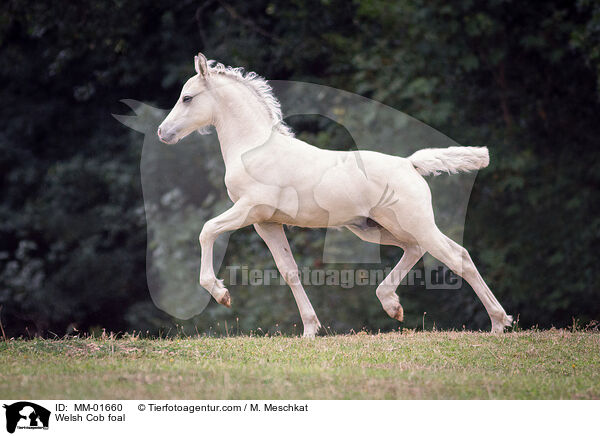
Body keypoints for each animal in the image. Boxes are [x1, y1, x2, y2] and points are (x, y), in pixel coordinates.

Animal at [158, 52, 510, 336]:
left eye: (187, 98)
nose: (163, 132)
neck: (253, 148)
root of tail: (409, 165)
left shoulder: (250, 209)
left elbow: (207, 231)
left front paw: (221, 294)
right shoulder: (267, 223)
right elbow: (289, 271)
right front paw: (310, 330)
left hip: (415, 224)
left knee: (458, 257)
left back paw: (498, 323)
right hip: (377, 229)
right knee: (416, 250)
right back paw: (392, 305)